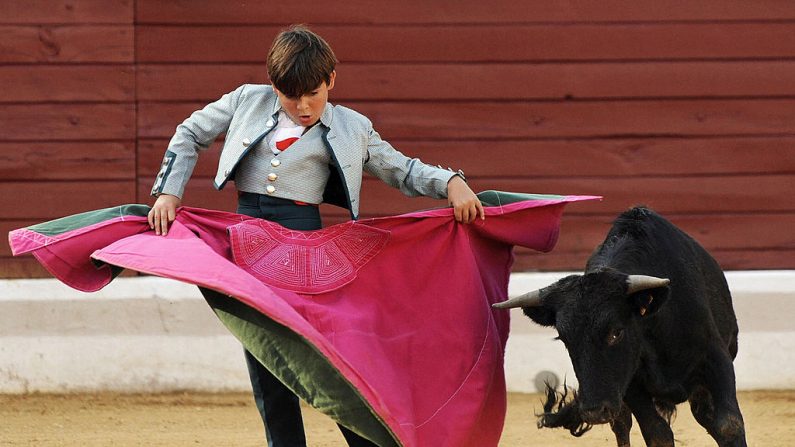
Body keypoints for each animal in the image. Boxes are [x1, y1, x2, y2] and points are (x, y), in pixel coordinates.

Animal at [494, 208, 748, 446]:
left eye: (616, 333)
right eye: (565, 340)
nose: (594, 411)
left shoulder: (716, 359)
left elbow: (728, 425)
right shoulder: (629, 384)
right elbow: (657, 433)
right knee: (622, 424)